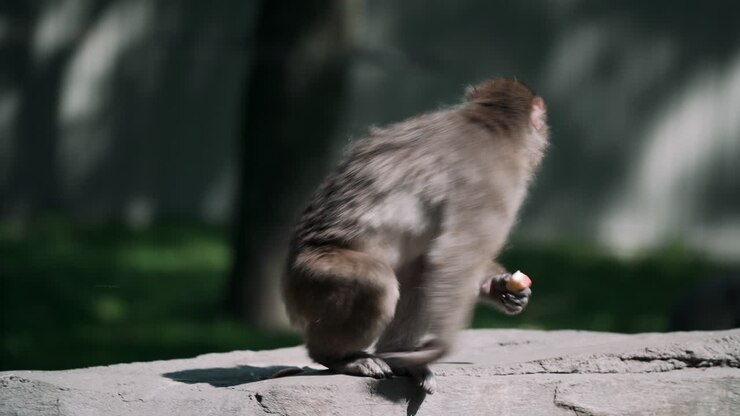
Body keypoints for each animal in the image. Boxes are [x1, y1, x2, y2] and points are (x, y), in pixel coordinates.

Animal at [282, 78, 549, 394]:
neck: (489, 122)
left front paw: (499, 286)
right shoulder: (494, 183)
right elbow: (454, 255)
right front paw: (442, 347)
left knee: (418, 268)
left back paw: (400, 359)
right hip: (312, 279)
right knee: (380, 281)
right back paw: (338, 357)